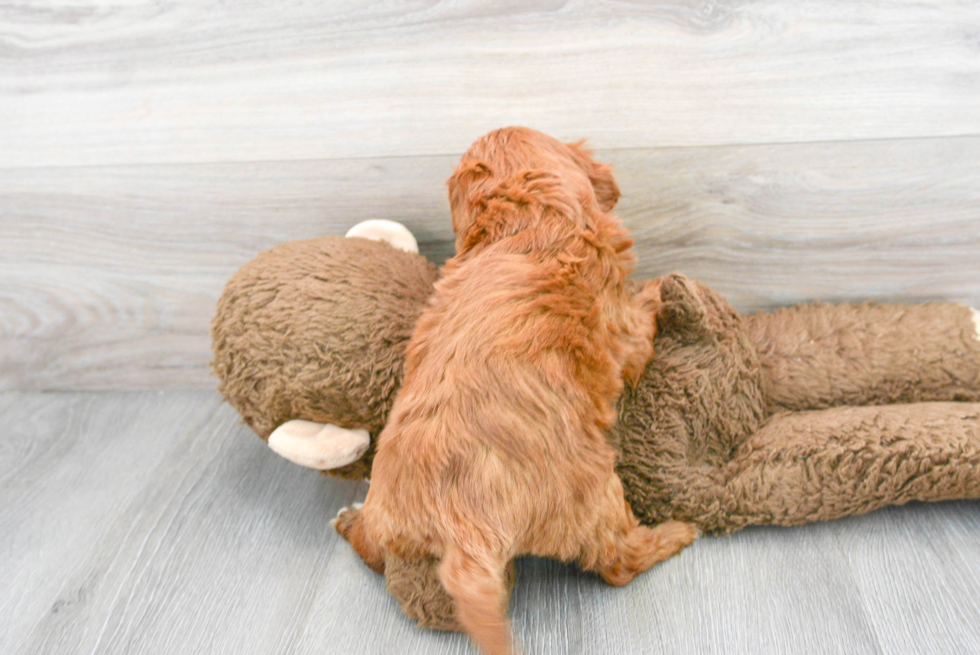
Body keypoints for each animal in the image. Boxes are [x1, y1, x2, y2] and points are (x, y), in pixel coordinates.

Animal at [336, 128, 696, 655]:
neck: (527, 220)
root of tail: (462, 533)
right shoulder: (623, 330)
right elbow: (640, 320)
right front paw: (658, 291)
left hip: (391, 523)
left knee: (373, 551)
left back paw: (348, 520)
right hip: (597, 495)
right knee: (619, 562)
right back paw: (677, 533)